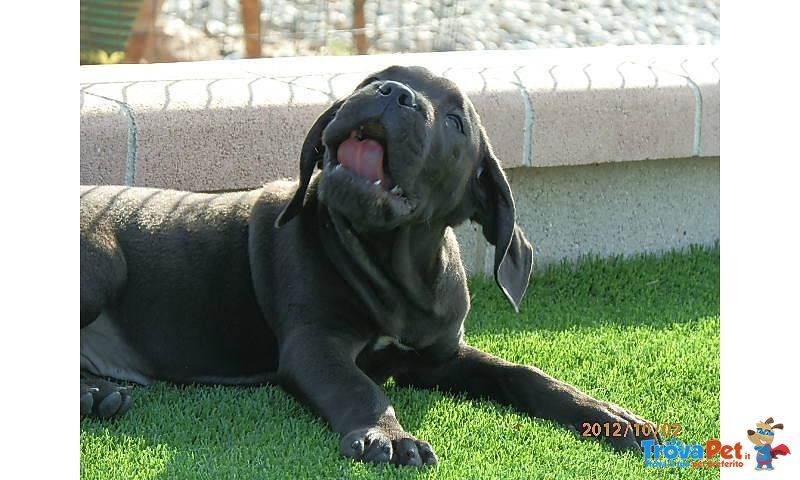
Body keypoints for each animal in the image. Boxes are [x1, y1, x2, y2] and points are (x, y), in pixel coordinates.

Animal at [78, 65, 660, 466]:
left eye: (455, 121)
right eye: (374, 78)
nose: (393, 94)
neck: (396, 271)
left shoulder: (438, 357)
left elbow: (520, 372)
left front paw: (609, 415)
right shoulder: (314, 345)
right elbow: (360, 387)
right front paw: (391, 437)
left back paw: (97, 395)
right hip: (102, 260)